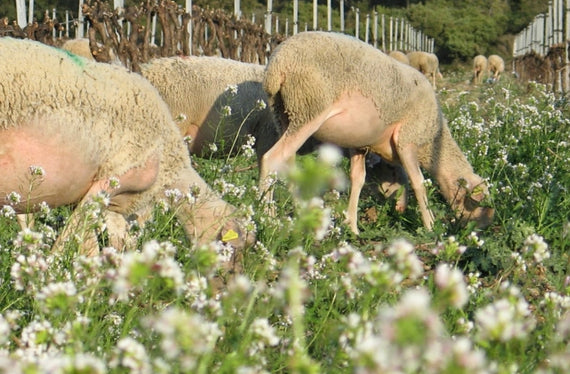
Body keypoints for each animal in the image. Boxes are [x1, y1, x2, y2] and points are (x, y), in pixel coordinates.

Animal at [260, 30, 490, 232]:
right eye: (474, 203)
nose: (479, 229)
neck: (434, 141)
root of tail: (277, 64)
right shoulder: (408, 139)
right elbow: (418, 182)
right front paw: (431, 226)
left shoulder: (359, 144)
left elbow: (359, 179)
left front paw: (352, 226)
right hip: (309, 109)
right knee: (271, 158)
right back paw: (266, 214)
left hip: (285, 113)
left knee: (287, 162)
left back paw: (299, 211)